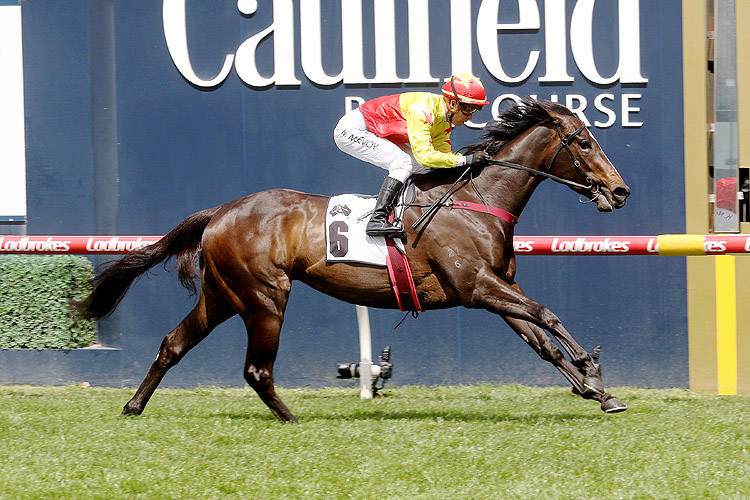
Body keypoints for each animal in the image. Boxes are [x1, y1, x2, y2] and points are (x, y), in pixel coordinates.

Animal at [75, 97, 628, 422]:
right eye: (583, 142)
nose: (620, 191)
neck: (477, 200)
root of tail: (221, 211)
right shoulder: (477, 287)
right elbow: (547, 316)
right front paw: (594, 374)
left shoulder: (496, 288)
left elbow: (543, 342)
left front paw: (595, 391)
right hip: (264, 296)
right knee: (256, 369)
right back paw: (291, 419)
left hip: (223, 294)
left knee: (173, 343)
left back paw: (133, 406)